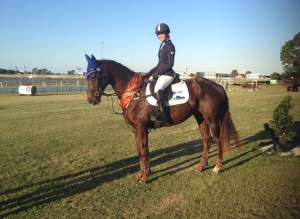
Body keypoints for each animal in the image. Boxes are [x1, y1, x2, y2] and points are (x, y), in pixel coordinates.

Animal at [85, 56, 243, 183]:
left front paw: (145, 176)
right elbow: (139, 150)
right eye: (87, 77)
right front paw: (141, 173)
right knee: (206, 140)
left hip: (212, 120)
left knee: (217, 140)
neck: (134, 92)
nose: (91, 100)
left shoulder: (142, 127)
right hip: (201, 118)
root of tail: (216, 85)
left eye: (93, 77)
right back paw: (200, 167)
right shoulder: (136, 129)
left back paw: (217, 168)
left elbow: (144, 149)